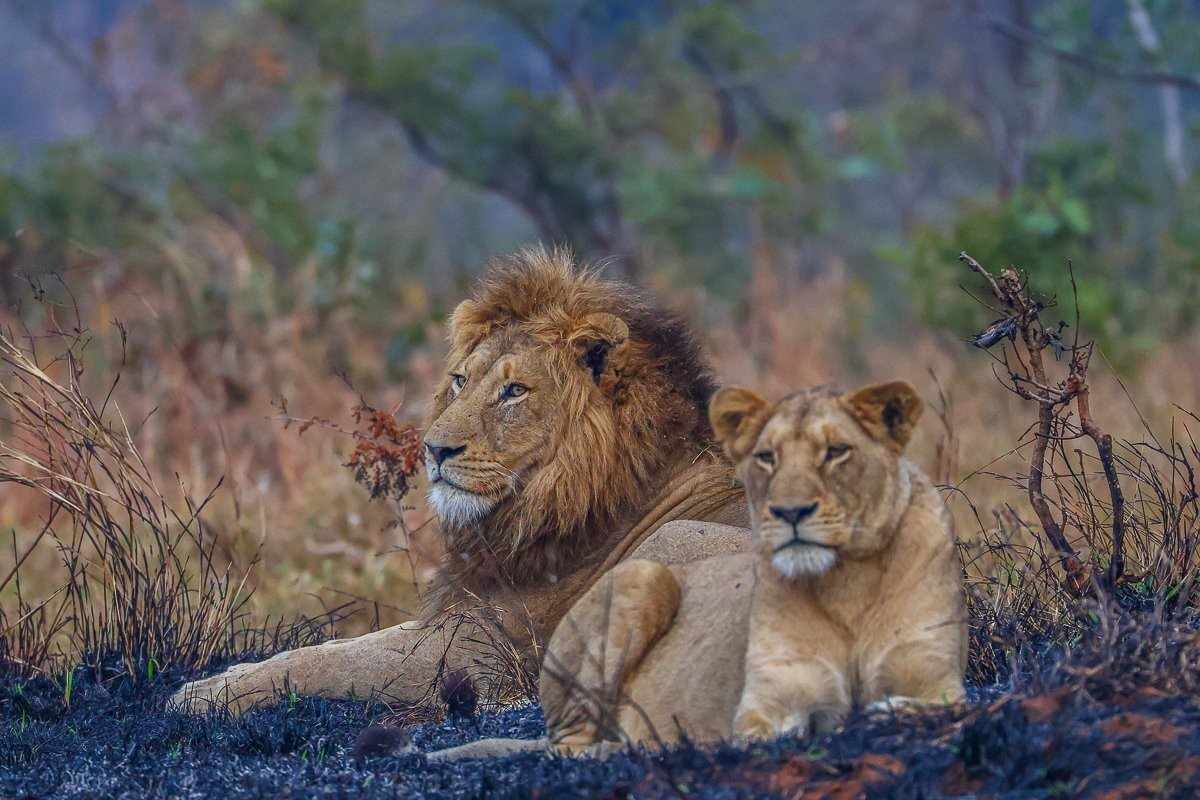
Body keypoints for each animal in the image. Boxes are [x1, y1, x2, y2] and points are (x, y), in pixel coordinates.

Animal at [170, 246, 749, 714]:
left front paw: (202, 694)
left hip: (669, 547)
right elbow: (332, 647)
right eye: (460, 381)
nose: (434, 449)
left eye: (514, 391)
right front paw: (228, 673)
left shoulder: (474, 647)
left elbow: (334, 664)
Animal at [434, 379, 966, 758]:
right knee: (576, 746)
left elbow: (926, 703)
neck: (848, 587)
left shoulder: (939, 683)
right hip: (642, 576)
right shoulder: (756, 710)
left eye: (836, 452)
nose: (789, 512)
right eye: (766, 457)